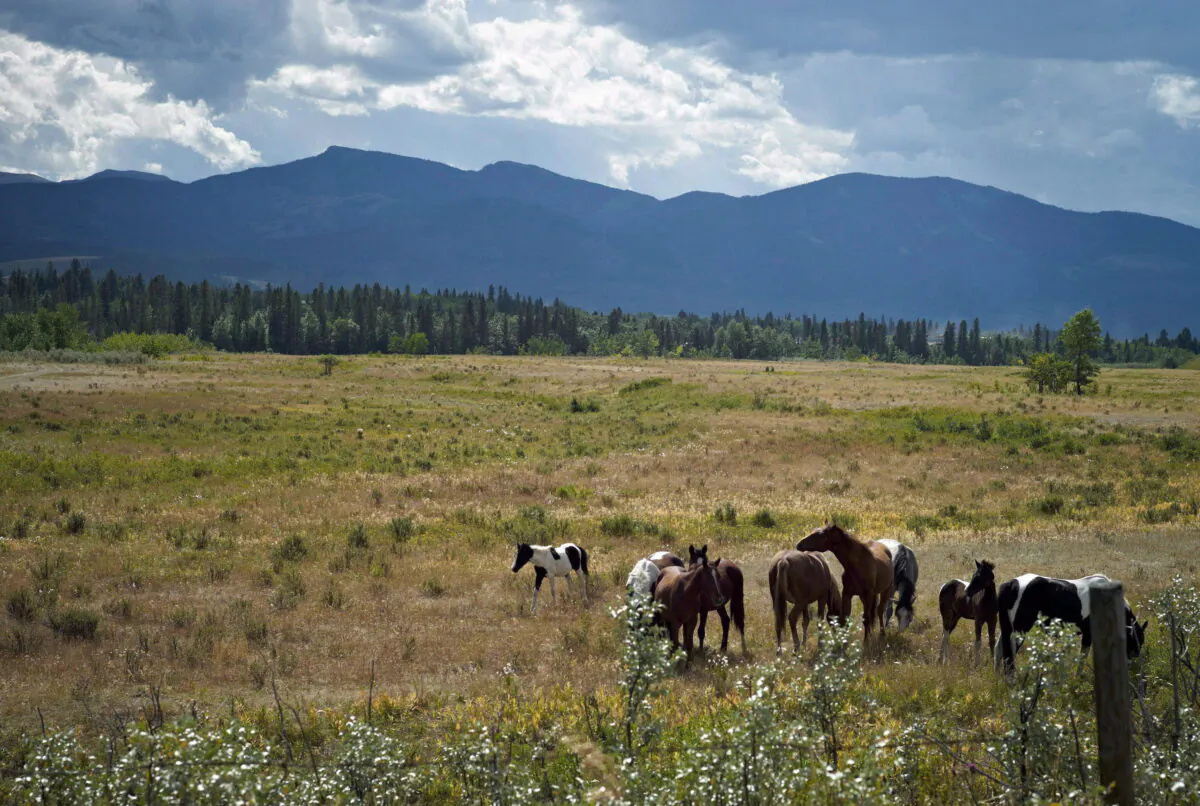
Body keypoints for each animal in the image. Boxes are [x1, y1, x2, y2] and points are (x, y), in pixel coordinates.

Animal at [995, 573, 1148, 674]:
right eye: (1135, 641)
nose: (1132, 666)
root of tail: (1012, 584)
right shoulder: (1088, 635)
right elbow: (1082, 658)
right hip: (1019, 630)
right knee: (1010, 653)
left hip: (1007, 627)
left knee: (999, 648)